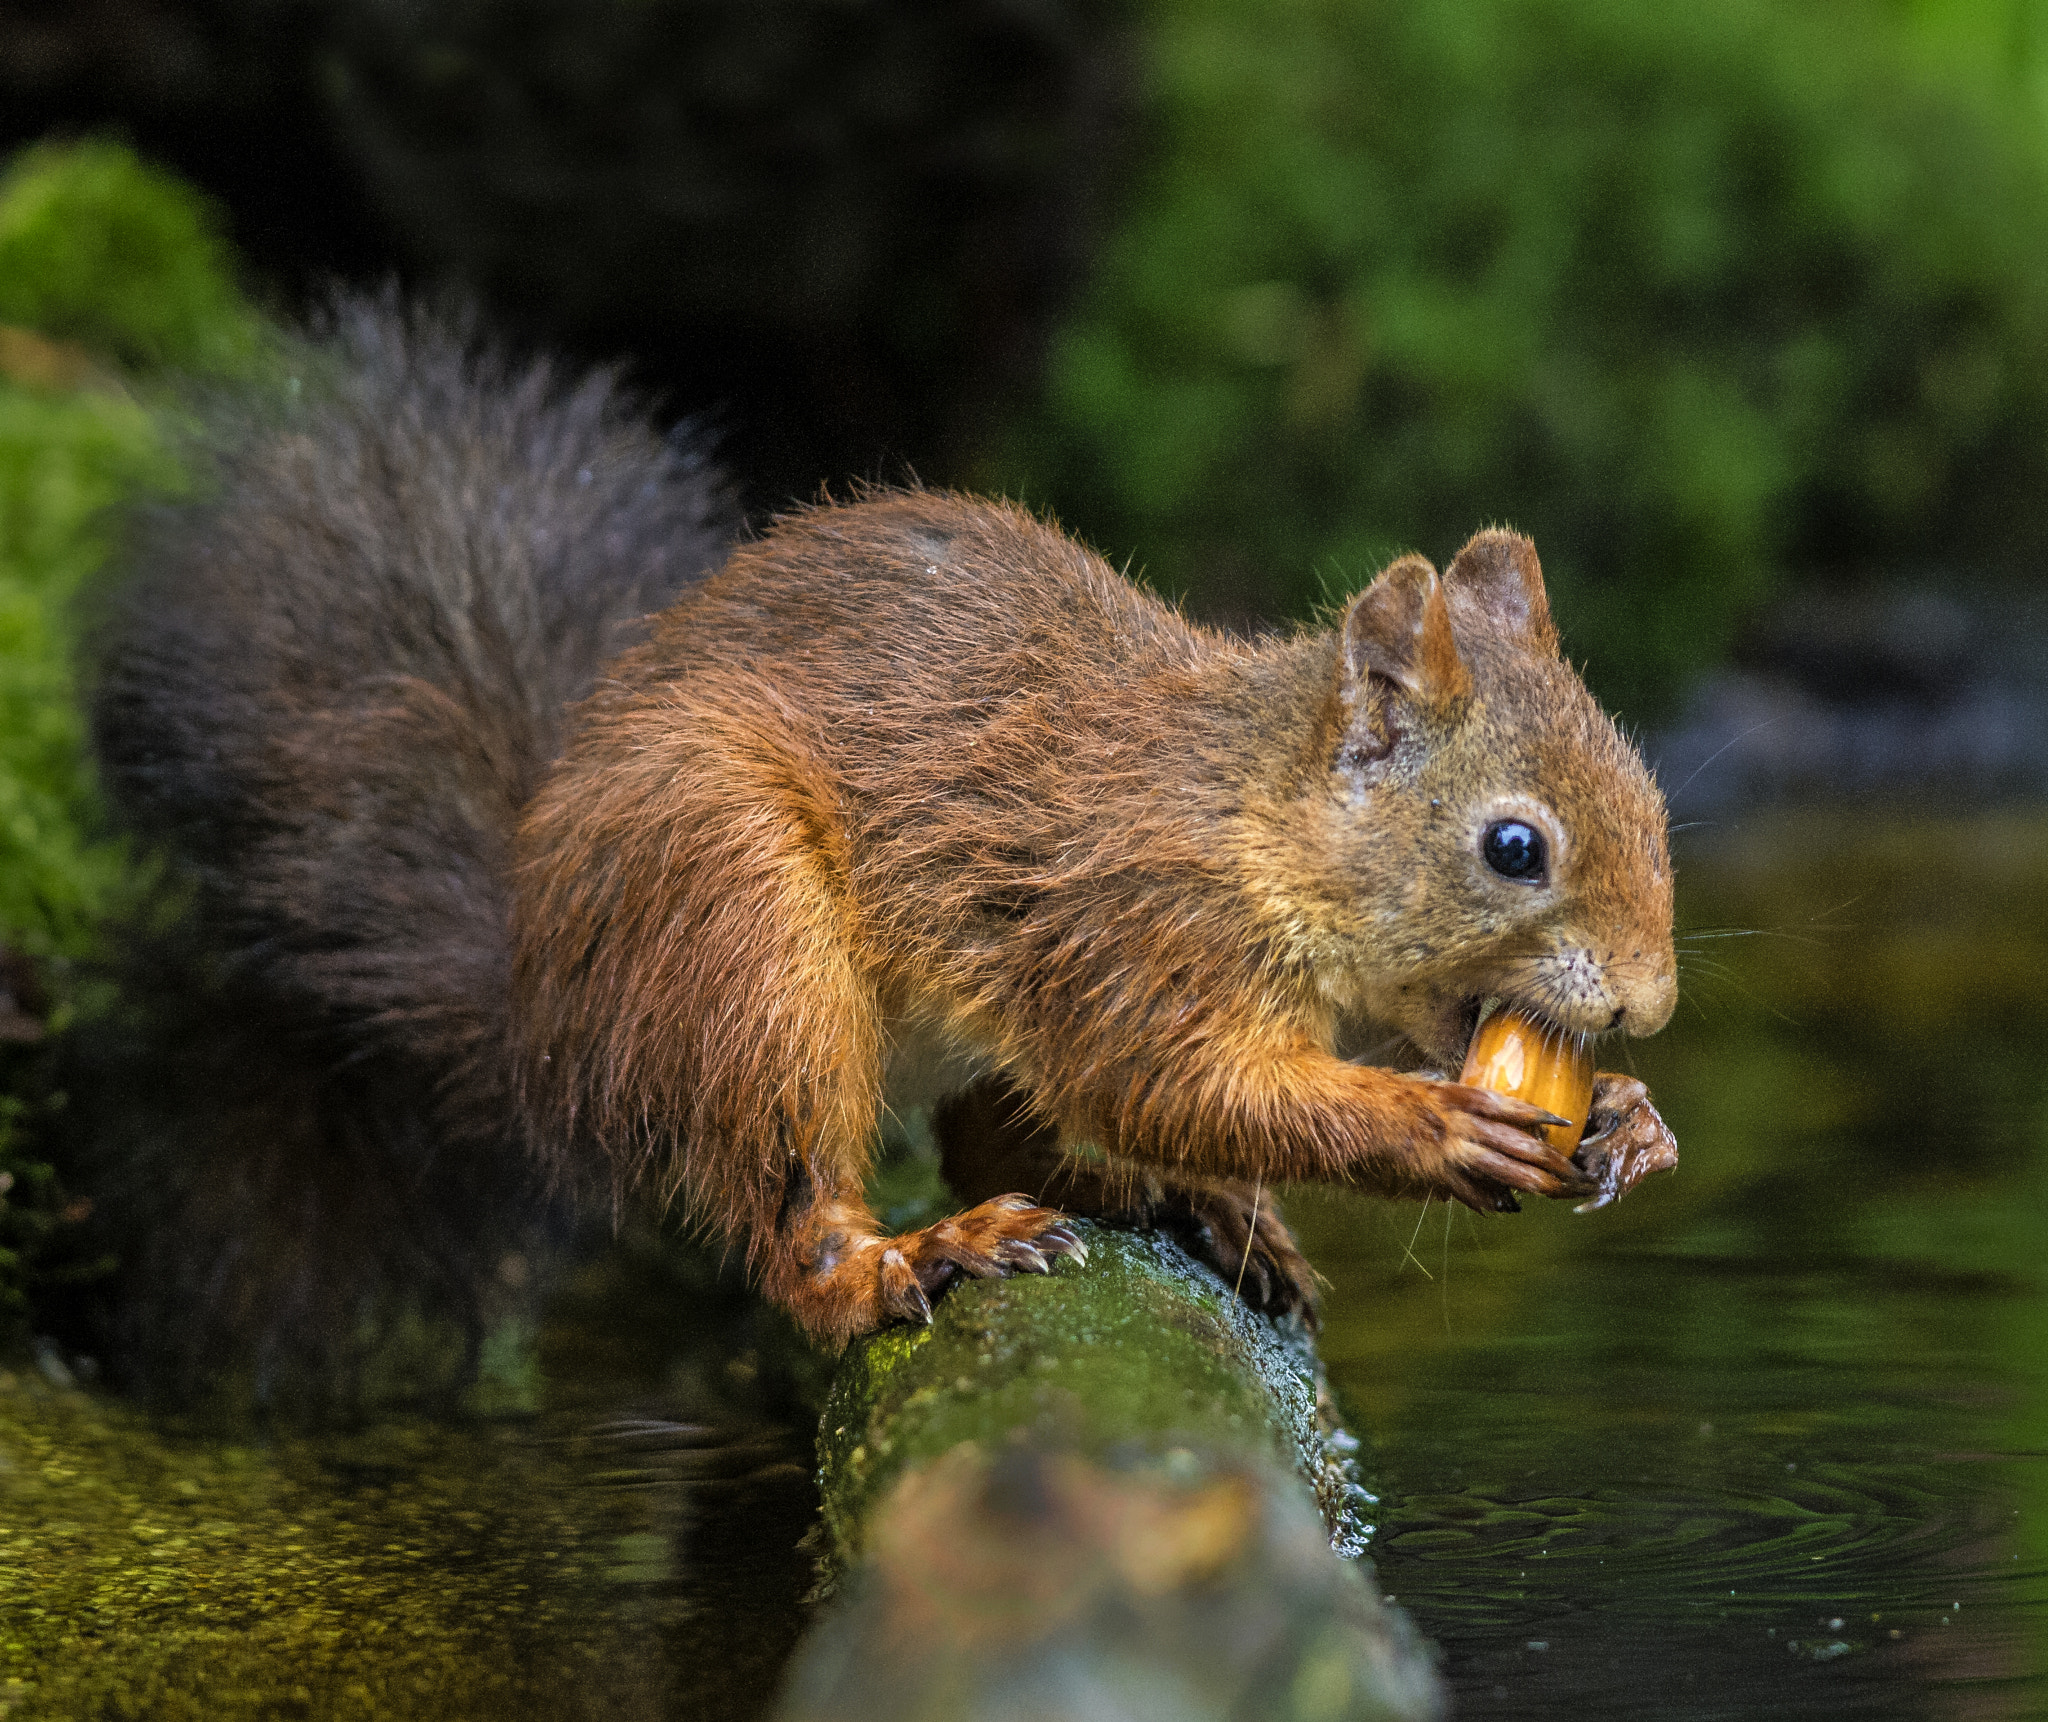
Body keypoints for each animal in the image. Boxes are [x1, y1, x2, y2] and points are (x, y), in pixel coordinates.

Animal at [88, 298, 1671, 1367]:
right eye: (1513, 848)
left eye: (1651, 796)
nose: (1651, 1003)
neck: (1250, 818)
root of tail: (543, 1013)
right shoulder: (1132, 929)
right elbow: (1172, 1079)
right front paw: (1433, 1123)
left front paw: (1627, 1122)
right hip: (742, 931)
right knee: (798, 1220)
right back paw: (911, 1259)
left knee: (984, 1131)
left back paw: (1184, 1211)